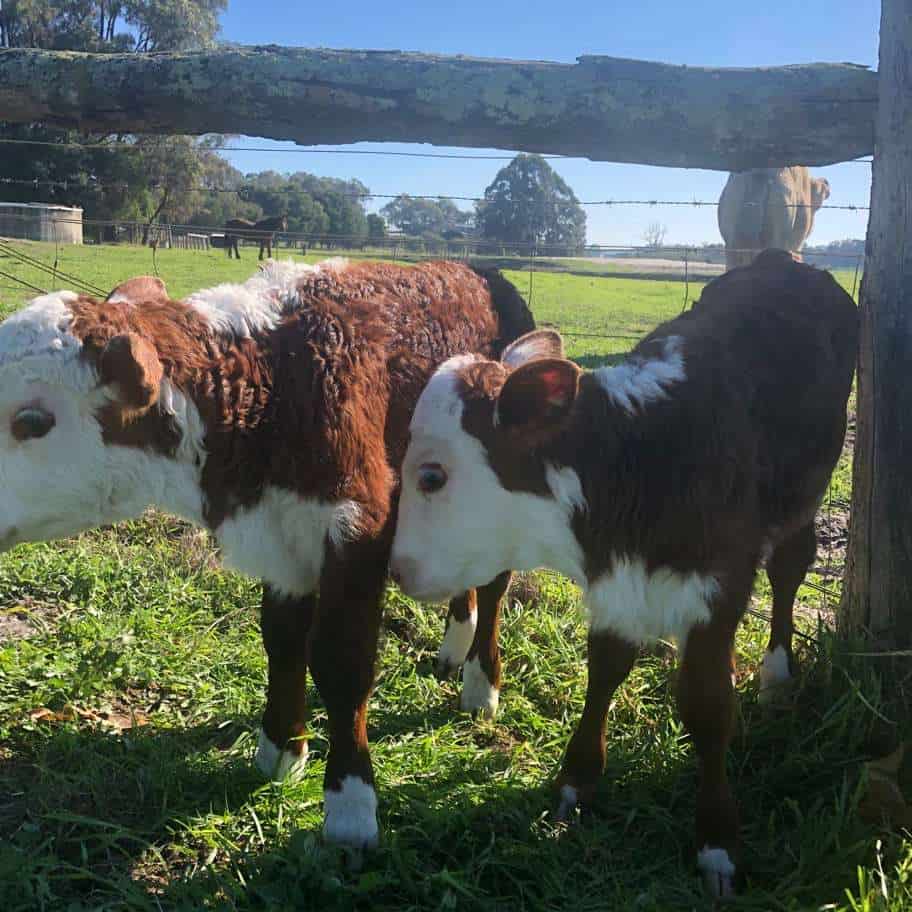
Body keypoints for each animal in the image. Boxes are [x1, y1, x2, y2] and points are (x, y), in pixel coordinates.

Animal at [0, 255, 536, 848]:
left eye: (32, 421)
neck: (273, 383)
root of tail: (482, 270)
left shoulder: (359, 523)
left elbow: (342, 659)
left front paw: (350, 806)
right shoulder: (280, 535)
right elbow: (282, 640)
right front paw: (281, 751)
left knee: (496, 585)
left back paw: (480, 686)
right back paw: (453, 648)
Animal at [390, 251, 856, 896]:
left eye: (432, 476)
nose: (398, 568)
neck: (639, 458)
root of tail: (781, 261)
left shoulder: (722, 582)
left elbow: (708, 705)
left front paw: (717, 839)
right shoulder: (616, 585)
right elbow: (605, 671)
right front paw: (576, 781)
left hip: (807, 493)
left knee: (790, 569)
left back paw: (777, 672)